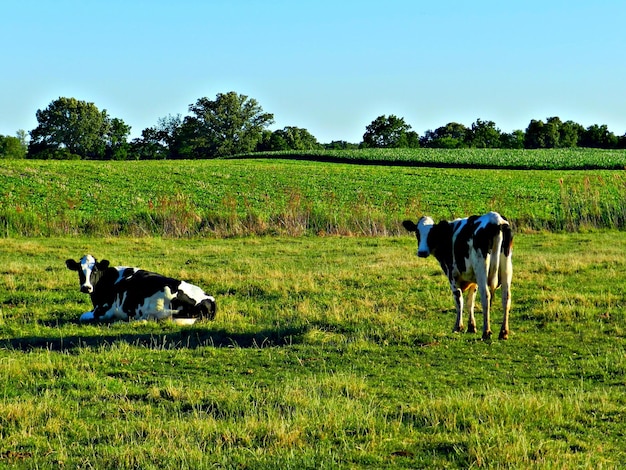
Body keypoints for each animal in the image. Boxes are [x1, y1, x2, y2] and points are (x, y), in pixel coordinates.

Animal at [65, 255, 216, 324]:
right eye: (79, 270)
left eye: (95, 270)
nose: (86, 287)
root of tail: (209, 300)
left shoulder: (104, 311)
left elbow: (82, 316)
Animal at [400, 211, 512, 340]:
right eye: (417, 232)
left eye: (432, 234)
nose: (422, 252)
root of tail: (496, 219)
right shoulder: (473, 279)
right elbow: (470, 301)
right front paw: (471, 326)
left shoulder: (452, 275)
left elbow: (459, 300)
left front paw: (458, 327)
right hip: (506, 268)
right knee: (506, 297)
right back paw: (503, 332)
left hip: (481, 267)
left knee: (486, 296)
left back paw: (486, 332)